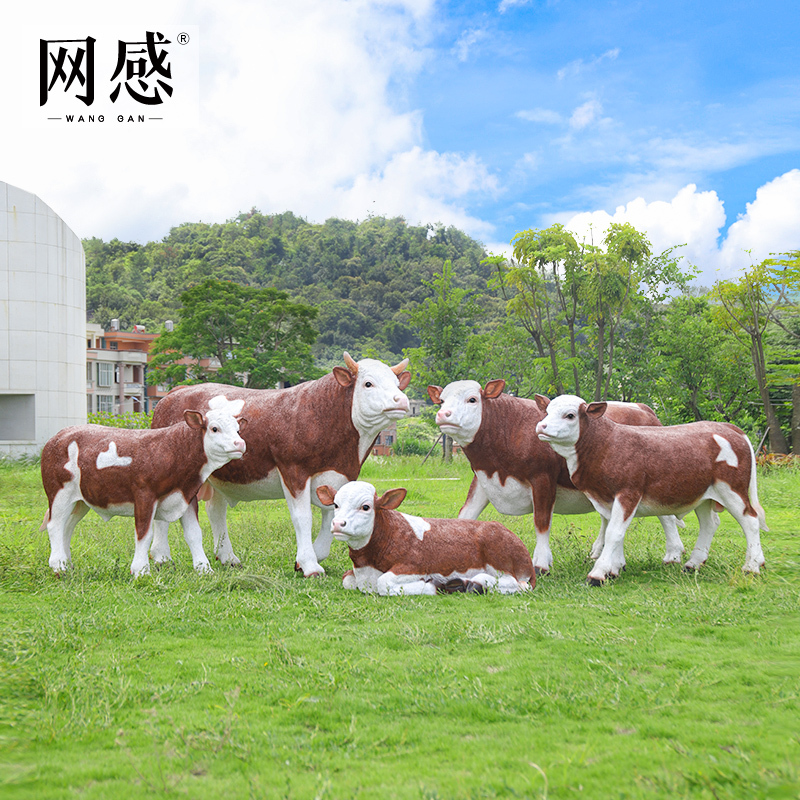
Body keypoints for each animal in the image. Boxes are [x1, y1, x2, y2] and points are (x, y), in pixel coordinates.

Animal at [40, 405, 247, 577]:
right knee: (55, 525)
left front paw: (204, 569)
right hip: (59, 492)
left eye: (237, 430)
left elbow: (194, 534)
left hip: (81, 500)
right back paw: (59, 567)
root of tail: (57, 436)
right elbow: (144, 534)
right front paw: (141, 571)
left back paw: (68, 564)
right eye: (214, 428)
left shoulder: (186, 496)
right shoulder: (144, 495)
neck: (174, 451)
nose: (240, 444)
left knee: (67, 526)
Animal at [149, 353, 411, 577]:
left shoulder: (340, 475)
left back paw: (226, 557)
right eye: (368, 383)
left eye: (397, 384)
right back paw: (163, 557)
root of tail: (176, 392)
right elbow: (303, 517)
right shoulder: (294, 470)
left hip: (219, 475)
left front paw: (308, 559)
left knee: (215, 511)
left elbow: (331, 517)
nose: (402, 400)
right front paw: (309, 565)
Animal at [315, 481, 534, 595]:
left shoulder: (414, 565)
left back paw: (471, 583)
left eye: (366, 507)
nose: (338, 524)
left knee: (516, 583)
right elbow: (346, 580)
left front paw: (431, 586)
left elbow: (384, 583)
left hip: (499, 557)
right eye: (335, 505)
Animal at [427, 379, 687, 574]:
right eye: (441, 400)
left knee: (666, 517)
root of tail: (644, 408)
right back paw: (607, 557)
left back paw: (673, 554)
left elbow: (541, 521)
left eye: (472, 399)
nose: (443, 414)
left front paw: (541, 563)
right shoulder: (483, 478)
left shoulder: (542, 478)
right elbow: (466, 515)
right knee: (611, 519)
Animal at [535, 394, 767, 584]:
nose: (541, 426)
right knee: (709, 523)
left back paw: (752, 566)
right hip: (703, 494)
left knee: (750, 521)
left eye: (570, 415)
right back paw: (693, 564)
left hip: (732, 489)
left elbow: (614, 533)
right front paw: (614, 569)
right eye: (547, 412)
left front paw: (598, 574)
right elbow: (615, 532)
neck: (606, 445)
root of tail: (729, 428)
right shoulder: (606, 498)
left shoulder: (628, 492)